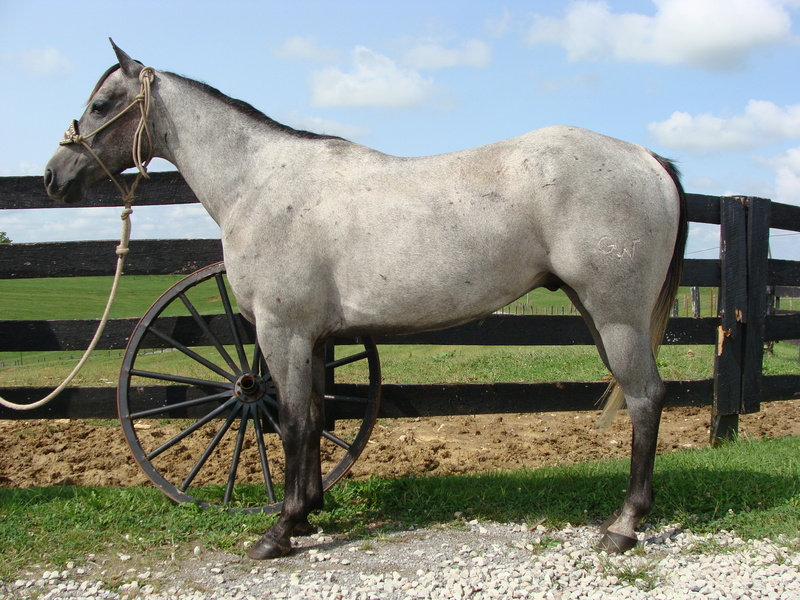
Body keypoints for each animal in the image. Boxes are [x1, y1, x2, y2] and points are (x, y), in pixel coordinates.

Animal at [44, 40, 687, 559]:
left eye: (101, 105)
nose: (54, 176)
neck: (261, 183)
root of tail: (646, 158)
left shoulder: (282, 331)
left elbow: (292, 423)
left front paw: (280, 531)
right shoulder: (312, 338)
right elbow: (312, 418)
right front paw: (307, 514)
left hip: (616, 317)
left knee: (645, 398)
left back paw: (623, 526)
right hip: (598, 315)